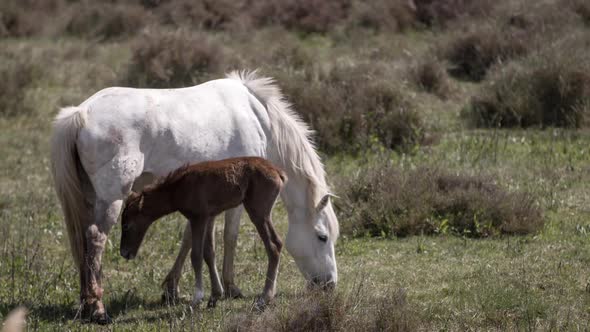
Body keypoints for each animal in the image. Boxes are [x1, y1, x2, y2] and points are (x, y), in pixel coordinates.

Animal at [120, 157, 286, 308]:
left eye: (127, 226)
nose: (124, 253)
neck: (178, 188)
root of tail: (278, 172)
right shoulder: (209, 216)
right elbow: (208, 253)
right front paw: (214, 296)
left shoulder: (198, 217)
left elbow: (196, 255)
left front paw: (197, 299)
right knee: (276, 243)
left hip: (258, 212)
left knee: (273, 245)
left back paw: (264, 298)